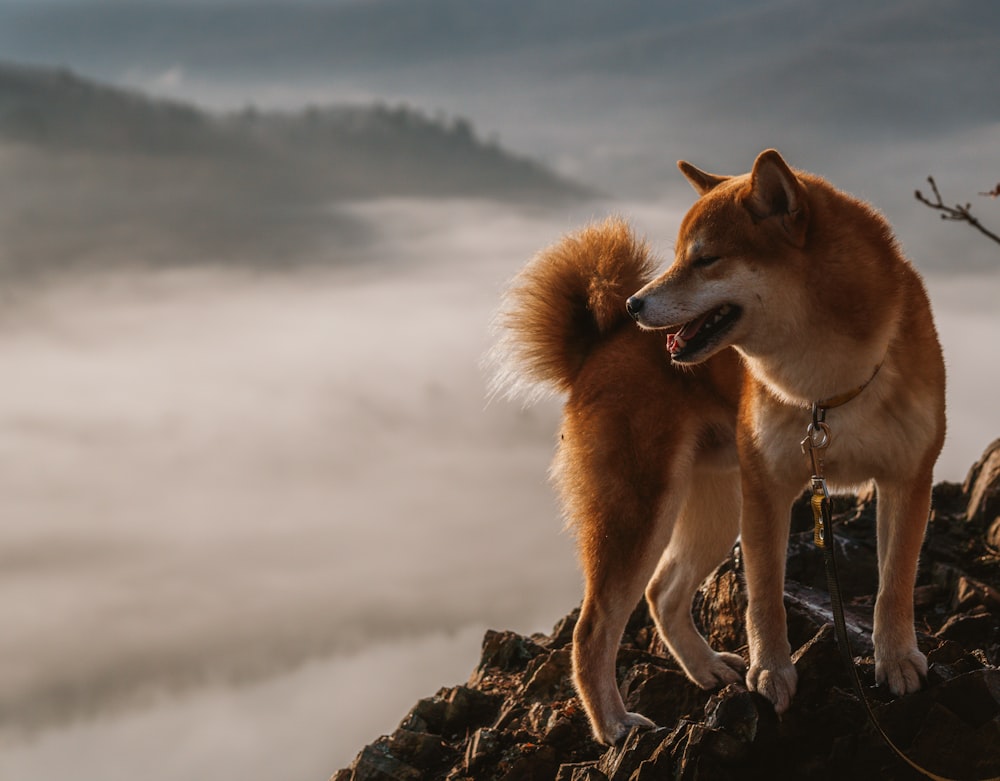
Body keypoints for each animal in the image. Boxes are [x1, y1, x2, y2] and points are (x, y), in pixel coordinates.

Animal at [496, 149, 948, 740]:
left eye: (706, 259)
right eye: (676, 256)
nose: (635, 304)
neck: (827, 387)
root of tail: (597, 346)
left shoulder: (906, 480)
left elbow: (894, 583)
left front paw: (896, 661)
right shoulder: (768, 490)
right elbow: (765, 597)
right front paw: (773, 671)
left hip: (714, 504)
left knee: (662, 593)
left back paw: (707, 668)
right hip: (642, 510)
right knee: (593, 629)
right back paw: (615, 725)